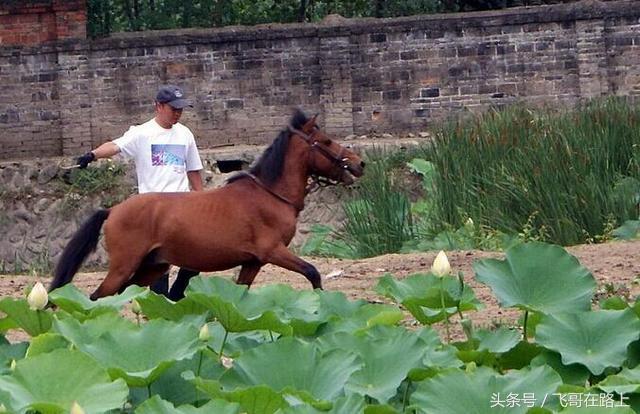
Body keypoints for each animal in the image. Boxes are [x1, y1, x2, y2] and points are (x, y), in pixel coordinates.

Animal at [50, 108, 364, 300]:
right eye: (326, 141)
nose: (359, 163)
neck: (269, 195)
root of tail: (113, 209)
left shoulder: (253, 262)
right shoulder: (274, 251)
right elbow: (313, 272)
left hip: (150, 267)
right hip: (123, 267)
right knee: (97, 298)